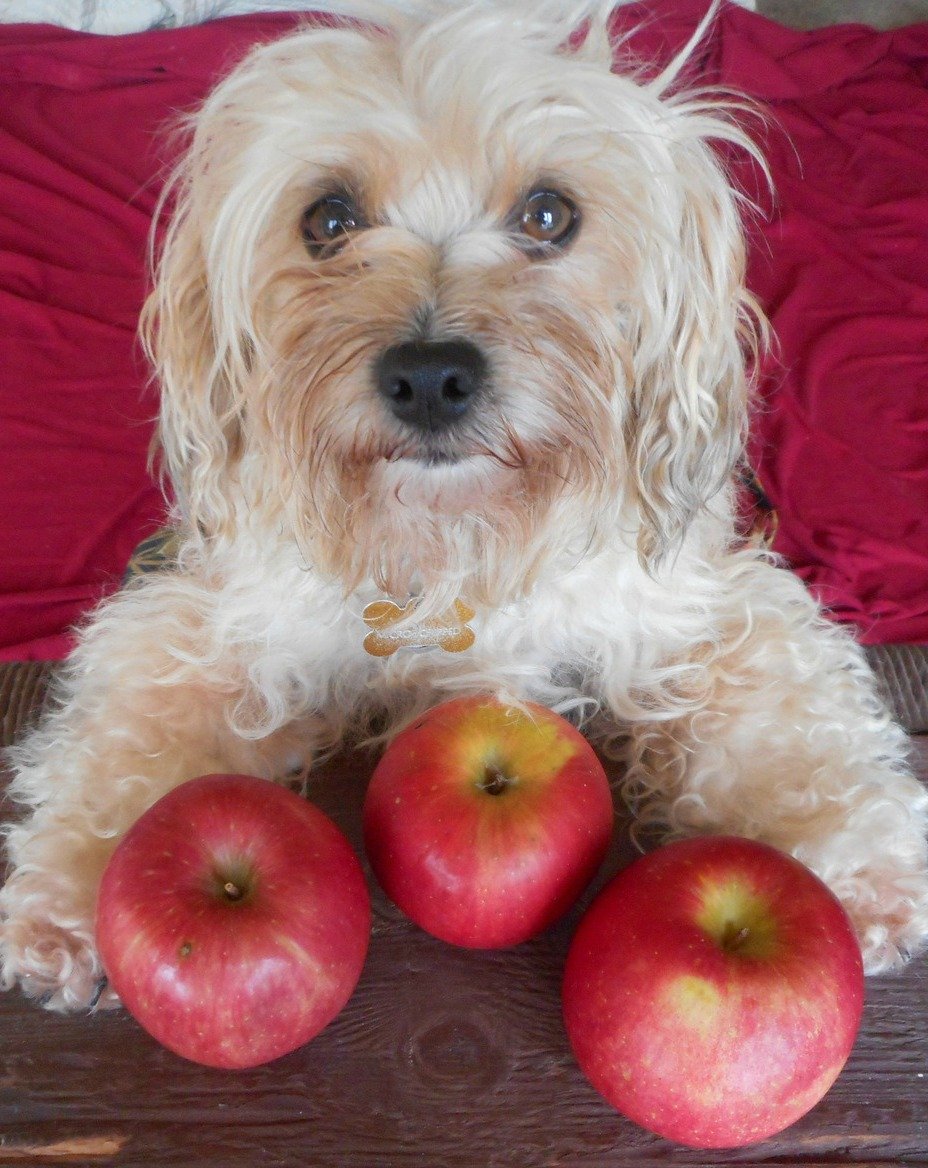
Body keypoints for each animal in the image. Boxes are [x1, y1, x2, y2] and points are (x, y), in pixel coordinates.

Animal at [1, 0, 928, 1009]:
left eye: (549, 214)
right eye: (328, 219)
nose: (430, 377)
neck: (453, 541)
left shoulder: (701, 599)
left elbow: (785, 708)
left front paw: (859, 862)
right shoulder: (205, 608)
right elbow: (129, 735)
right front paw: (76, 889)